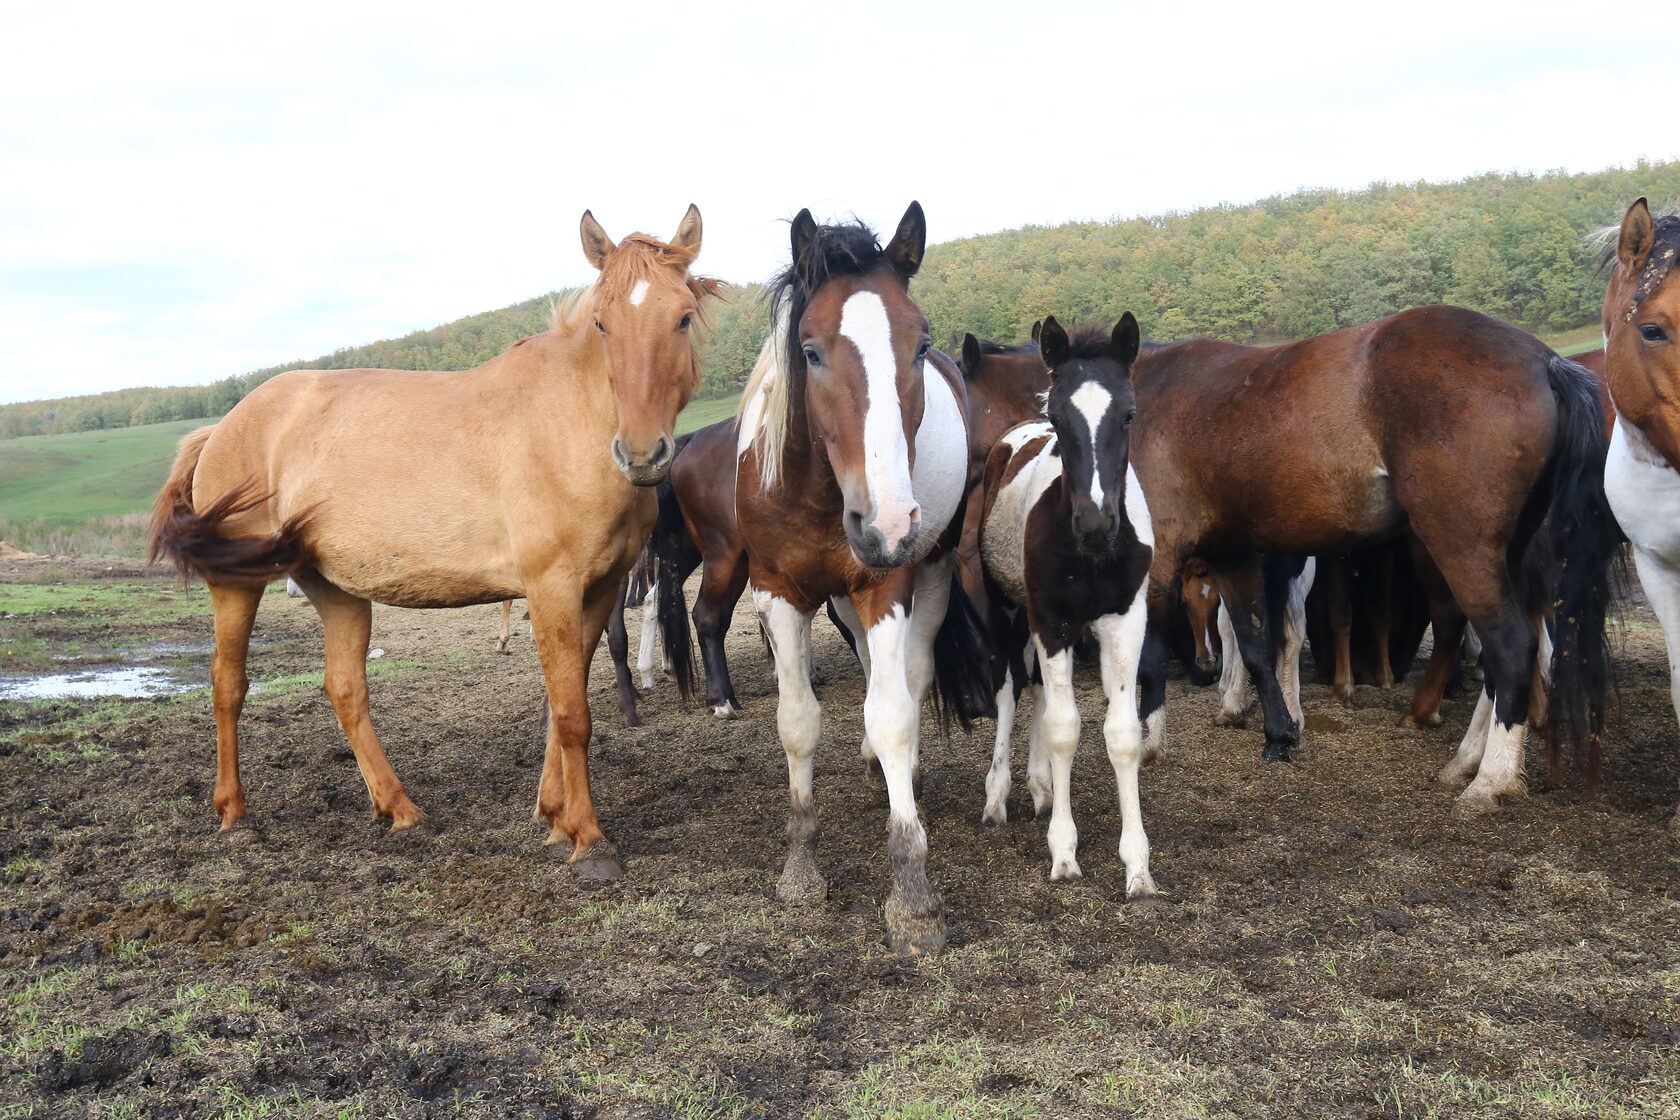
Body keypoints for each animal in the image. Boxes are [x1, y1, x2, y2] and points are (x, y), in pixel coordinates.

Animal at [147, 205, 719, 879]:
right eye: (603, 322)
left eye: (681, 316)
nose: (641, 454)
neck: (571, 423)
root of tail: (224, 425)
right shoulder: (551, 587)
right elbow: (571, 713)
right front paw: (587, 838)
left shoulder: (601, 588)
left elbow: (564, 700)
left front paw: (553, 817)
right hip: (237, 583)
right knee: (228, 686)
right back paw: (235, 813)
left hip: (337, 587)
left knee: (345, 689)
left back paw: (400, 809)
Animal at [974, 317, 1155, 900]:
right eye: (1058, 417)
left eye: (1129, 413)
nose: (1095, 523)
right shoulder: (1050, 618)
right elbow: (1063, 727)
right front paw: (1065, 852)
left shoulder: (1125, 620)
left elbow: (1122, 733)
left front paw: (1137, 867)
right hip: (1007, 611)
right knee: (1010, 689)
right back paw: (1000, 795)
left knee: (1035, 689)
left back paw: (1041, 786)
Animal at [1135, 307, 1619, 816]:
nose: (1203, 671)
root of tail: (1545, 360)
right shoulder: (1233, 555)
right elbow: (1254, 643)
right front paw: (1278, 736)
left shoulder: (1160, 557)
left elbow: (1152, 652)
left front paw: (1147, 743)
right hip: (1507, 557)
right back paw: (1467, 758)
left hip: (1463, 552)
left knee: (1510, 646)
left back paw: (1490, 779)